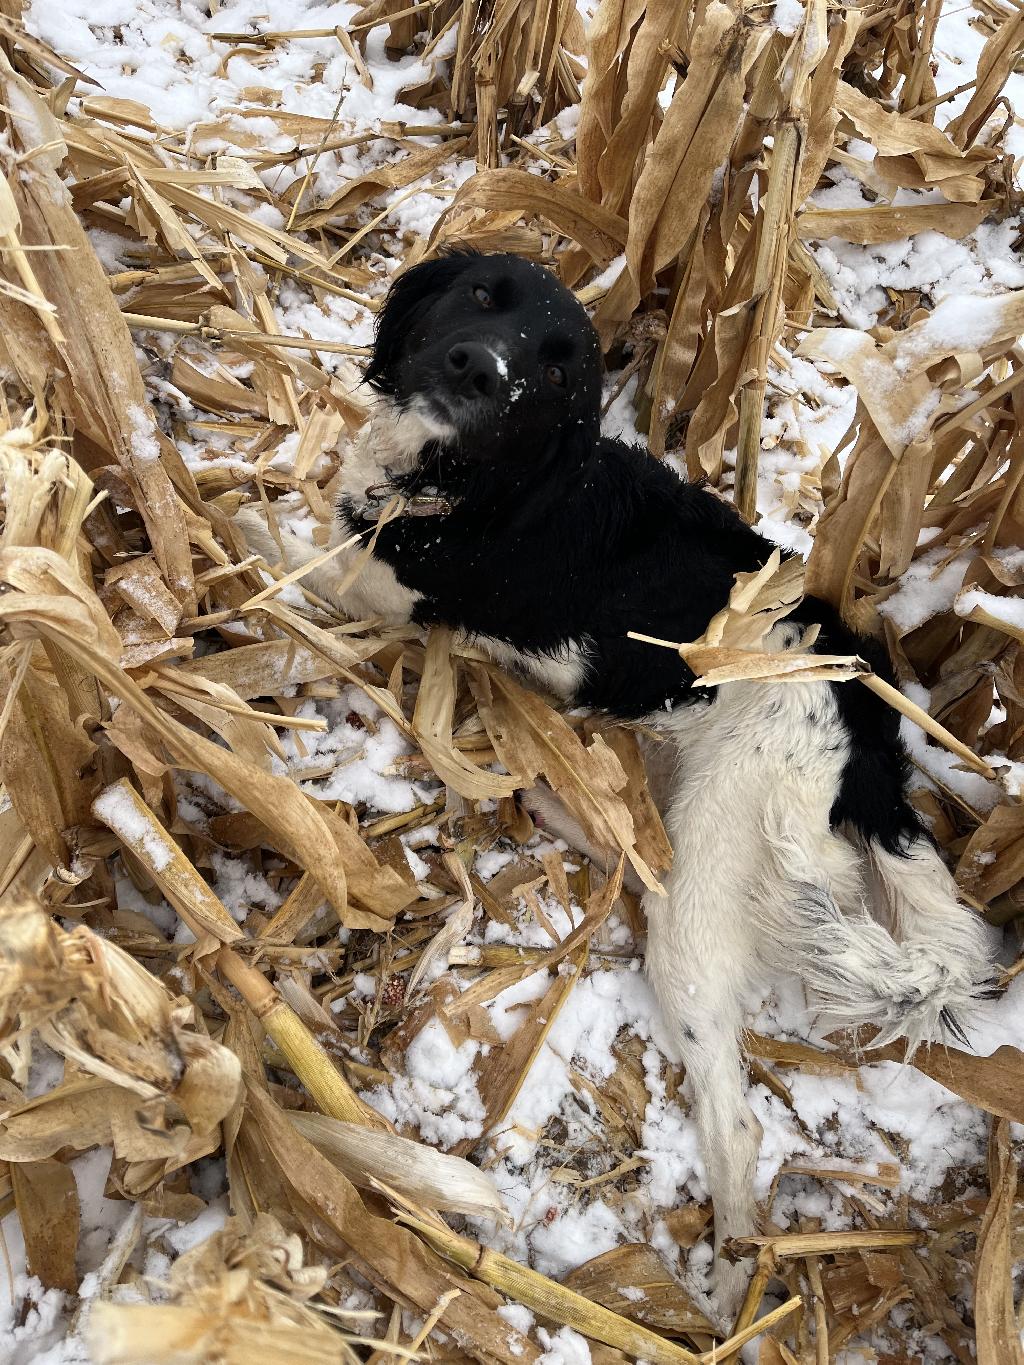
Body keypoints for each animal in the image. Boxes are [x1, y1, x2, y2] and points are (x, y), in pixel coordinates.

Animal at [236, 248, 999, 1321]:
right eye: (483, 298)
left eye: (557, 370)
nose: (479, 368)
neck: (474, 480)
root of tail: (863, 722)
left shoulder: (373, 594)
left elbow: (271, 542)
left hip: (704, 884)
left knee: (738, 1125)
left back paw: (730, 1281)